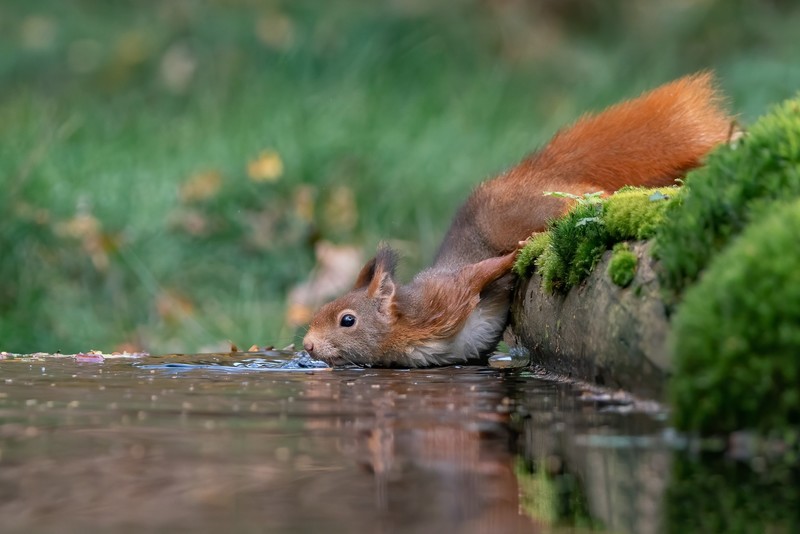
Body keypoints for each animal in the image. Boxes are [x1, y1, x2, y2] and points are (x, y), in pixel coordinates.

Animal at [303, 72, 733, 367]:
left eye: (346, 320)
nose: (306, 345)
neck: (404, 328)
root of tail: (531, 176)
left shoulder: (446, 296)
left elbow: (482, 273)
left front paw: (513, 258)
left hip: (525, 210)